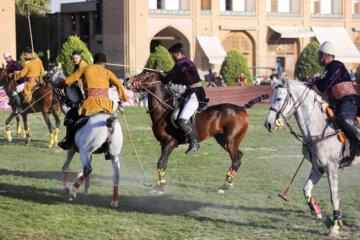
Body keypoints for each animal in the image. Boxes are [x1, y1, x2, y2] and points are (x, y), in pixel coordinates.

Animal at [46, 64, 123, 207]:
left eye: (51, 72)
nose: (42, 78)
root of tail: (109, 122)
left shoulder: (72, 149)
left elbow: (65, 166)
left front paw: (66, 187)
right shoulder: (90, 153)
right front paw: (86, 190)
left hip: (84, 151)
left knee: (88, 169)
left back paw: (72, 191)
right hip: (114, 155)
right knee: (116, 175)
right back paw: (114, 201)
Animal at [124, 70, 268, 194]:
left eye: (145, 73)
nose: (126, 80)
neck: (163, 111)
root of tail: (242, 108)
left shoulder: (171, 142)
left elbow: (161, 163)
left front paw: (160, 188)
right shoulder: (163, 144)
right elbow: (162, 164)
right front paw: (158, 186)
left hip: (232, 140)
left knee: (236, 161)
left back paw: (225, 186)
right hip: (223, 140)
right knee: (239, 156)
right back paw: (228, 182)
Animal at [264, 77, 360, 236]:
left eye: (278, 98)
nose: (268, 124)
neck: (318, 128)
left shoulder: (331, 168)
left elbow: (334, 197)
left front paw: (335, 227)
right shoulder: (318, 168)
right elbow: (306, 190)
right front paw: (327, 219)